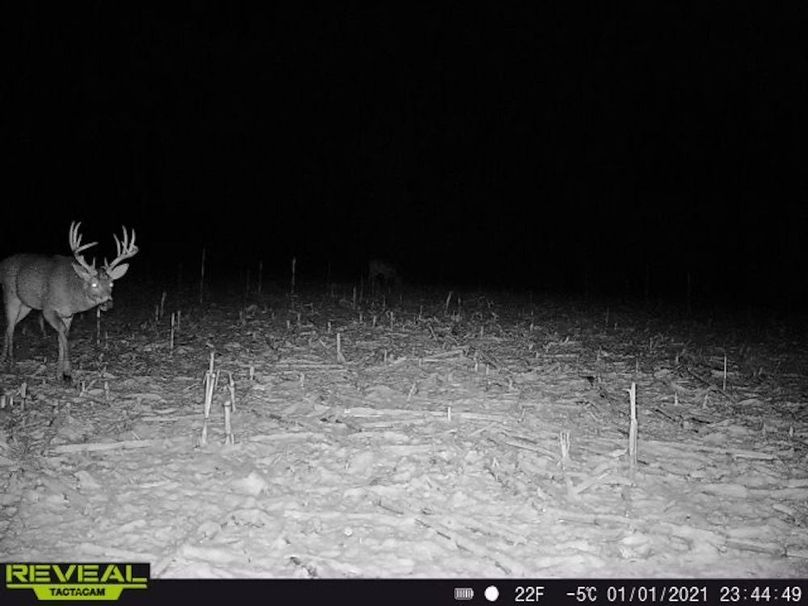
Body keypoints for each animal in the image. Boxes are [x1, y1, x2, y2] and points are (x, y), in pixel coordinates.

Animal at [0, 221, 138, 383]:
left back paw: (4, 359)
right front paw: (68, 373)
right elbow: (63, 335)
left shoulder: (68, 314)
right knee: (10, 326)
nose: (107, 303)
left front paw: (59, 373)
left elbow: (63, 336)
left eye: (111, 284)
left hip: (26, 305)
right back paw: (10, 362)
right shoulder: (48, 308)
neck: (71, 293)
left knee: (10, 326)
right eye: (94, 284)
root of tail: (2, 264)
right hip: (11, 296)